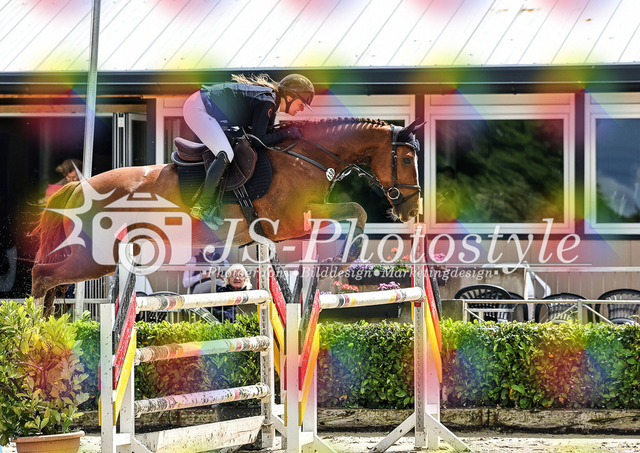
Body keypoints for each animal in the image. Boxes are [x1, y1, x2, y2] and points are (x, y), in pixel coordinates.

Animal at [30, 117, 422, 315]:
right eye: (406, 159)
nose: (411, 210)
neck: (306, 157)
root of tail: (78, 186)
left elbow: (354, 212)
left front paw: (340, 260)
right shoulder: (291, 220)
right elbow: (356, 210)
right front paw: (342, 260)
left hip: (100, 258)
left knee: (51, 279)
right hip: (96, 257)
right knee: (42, 275)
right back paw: (35, 327)